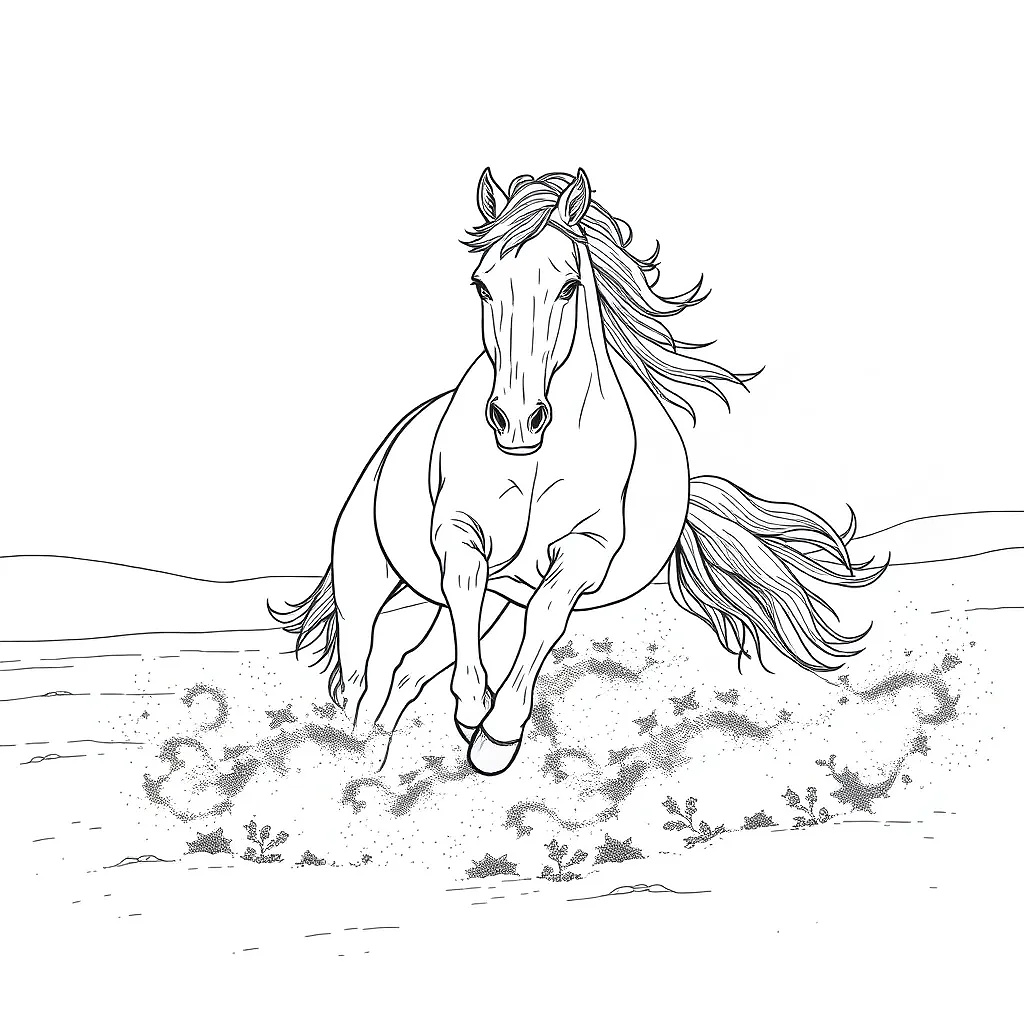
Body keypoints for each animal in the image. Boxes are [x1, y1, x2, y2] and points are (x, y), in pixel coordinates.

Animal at [272, 168, 884, 776]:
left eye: (568, 286)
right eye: (482, 285)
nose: (517, 420)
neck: (536, 459)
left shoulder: (583, 552)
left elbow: (544, 617)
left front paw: (494, 735)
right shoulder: (458, 534)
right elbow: (465, 586)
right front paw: (475, 709)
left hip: (480, 606)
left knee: (405, 671)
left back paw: (377, 758)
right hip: (364, 578)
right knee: (359, 673)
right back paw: (359, 751)